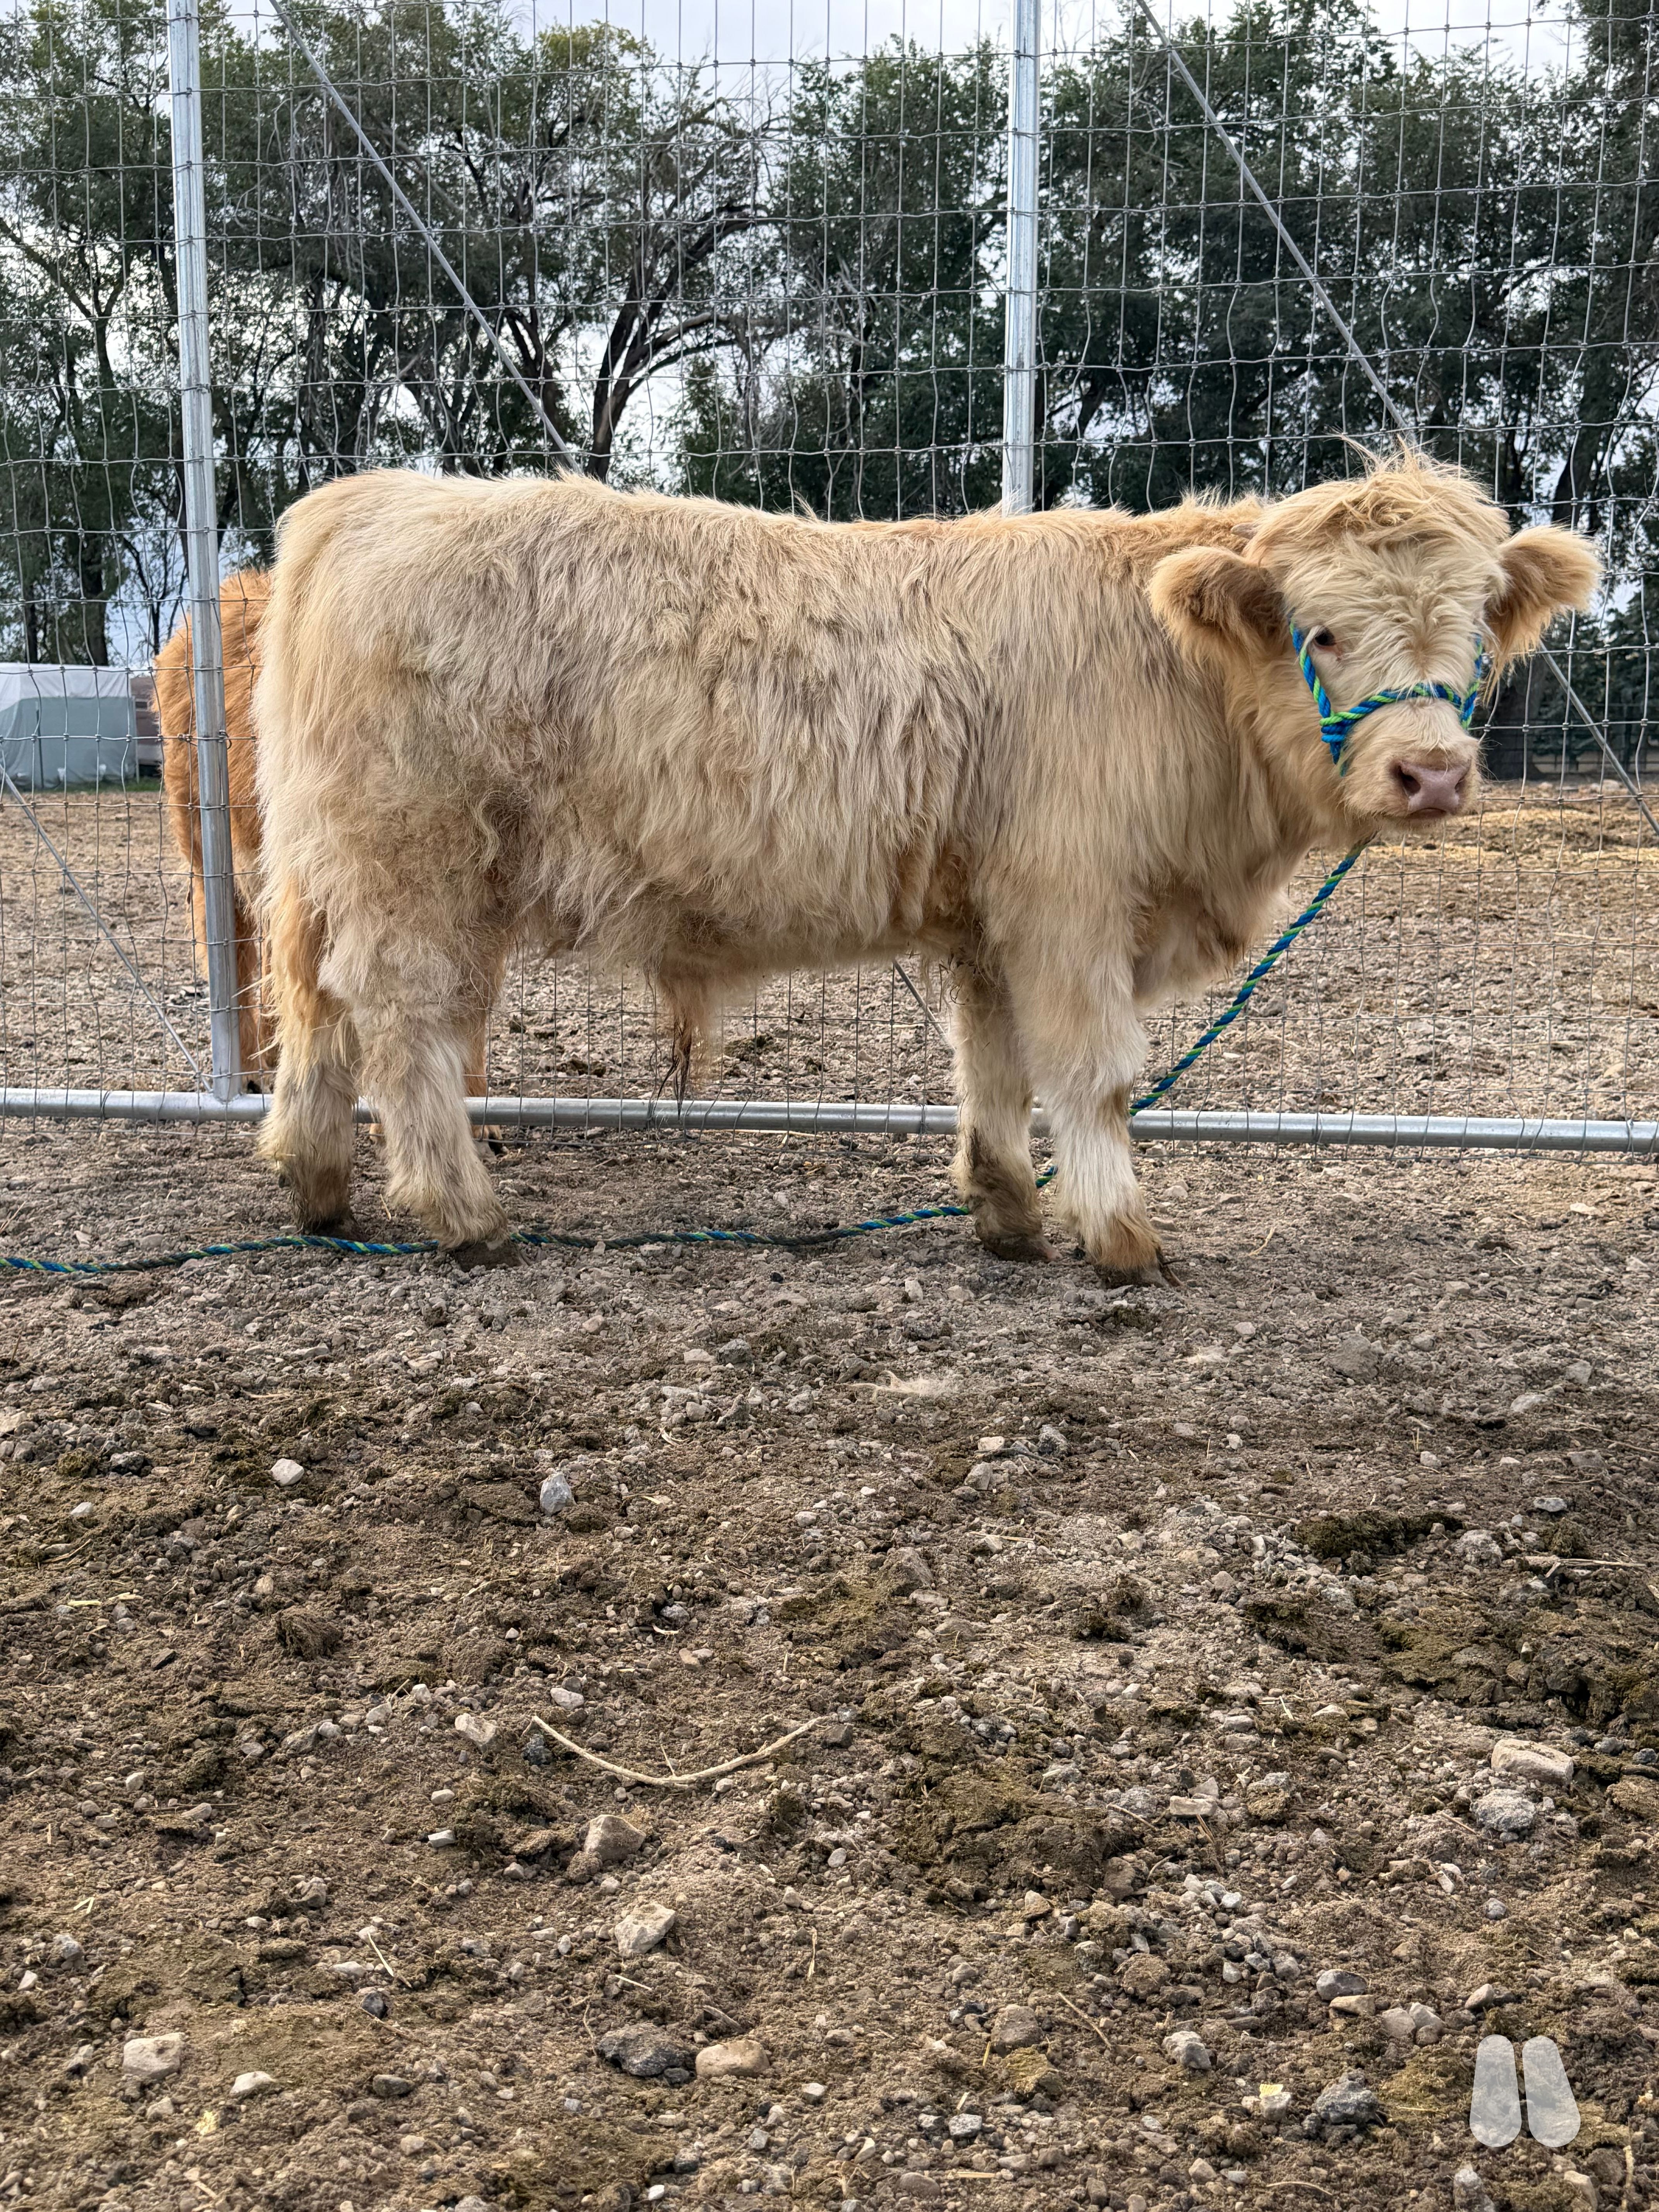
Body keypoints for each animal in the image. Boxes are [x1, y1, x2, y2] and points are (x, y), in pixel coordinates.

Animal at [250, 451, 1597, 1274]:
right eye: (1319, 632)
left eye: (1474, 629)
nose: (1432, 774)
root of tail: (364, 502)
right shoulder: (1069, 897)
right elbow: (1094, 1074)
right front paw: (1121, 1236)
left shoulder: (991, 914)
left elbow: (992, 1061)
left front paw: (1007, 1212)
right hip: (418, 863)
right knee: (405, 1025)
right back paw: (465, 1214)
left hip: (333, 865)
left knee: (316, 1013)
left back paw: (318, 1188)